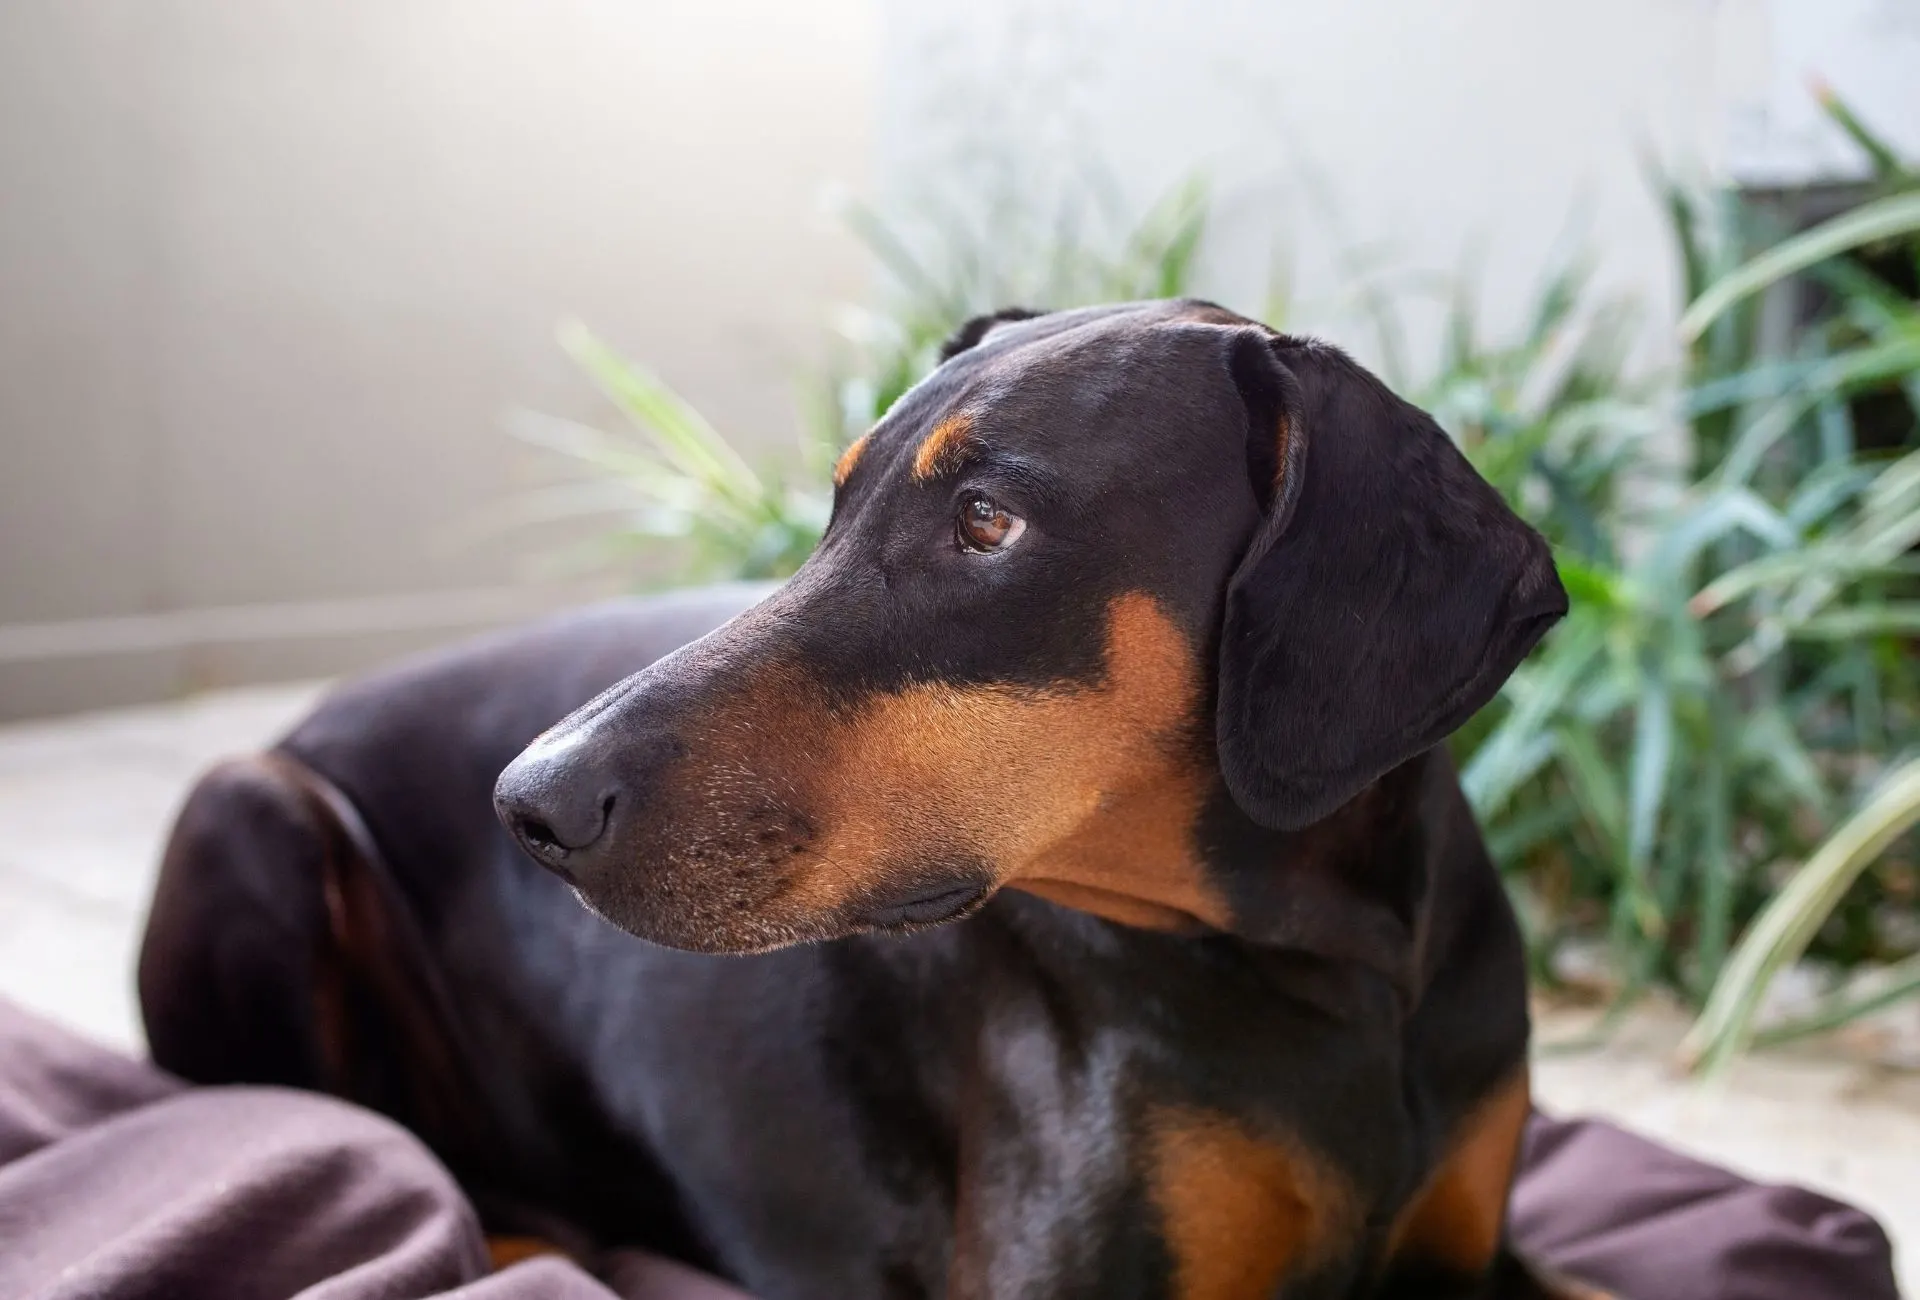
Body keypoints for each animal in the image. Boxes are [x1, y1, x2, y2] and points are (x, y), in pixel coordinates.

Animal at [142, 299, 1574, 1290]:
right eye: (835, 506)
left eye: (986, 520)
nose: (530, 805)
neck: (1335, 966)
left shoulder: (1473, 1255)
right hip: (250, 811)